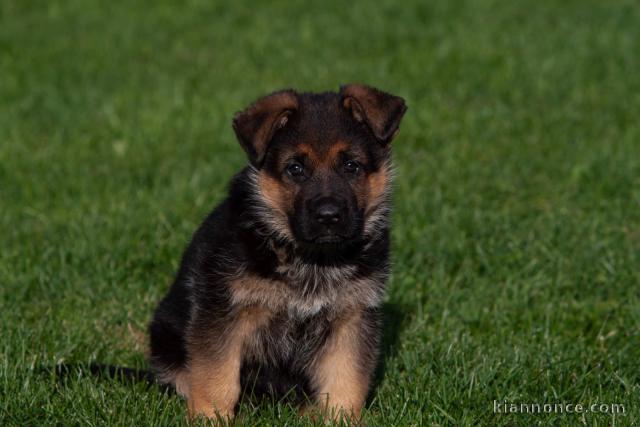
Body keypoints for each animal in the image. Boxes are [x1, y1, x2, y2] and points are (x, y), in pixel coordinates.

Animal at [149, 83, 404, 422]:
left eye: (352, 166)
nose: (328, 216)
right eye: (295, 169)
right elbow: (216, 377)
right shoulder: (223, 313)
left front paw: (340, 419)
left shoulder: (352, 318)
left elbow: (345, 381)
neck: (311, 258)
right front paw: (209, 418)